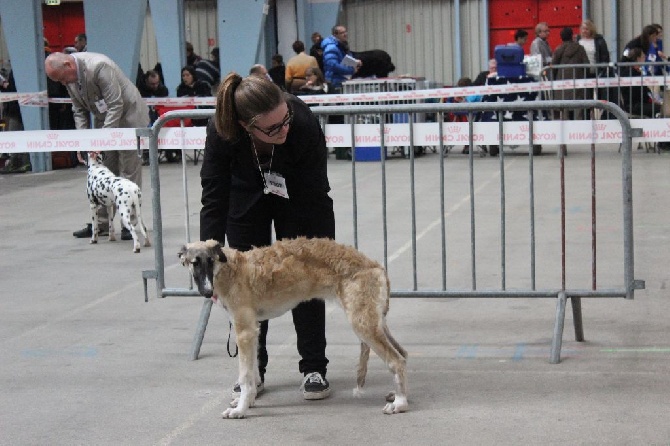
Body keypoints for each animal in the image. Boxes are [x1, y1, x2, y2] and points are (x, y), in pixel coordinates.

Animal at [178, 237, 410, 418]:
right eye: (194, 263)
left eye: (211, 261)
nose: (207, 292)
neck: (233, 270)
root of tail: (376, 266)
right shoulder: (253, 331)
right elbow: (253, 372)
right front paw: (249, 401)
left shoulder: (243, 331)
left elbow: (245, 376)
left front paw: (241, 410)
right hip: (375, 322)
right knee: (403, 354)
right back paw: (396, 395)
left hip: (363, 324)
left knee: (396, 360)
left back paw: (399, 403)